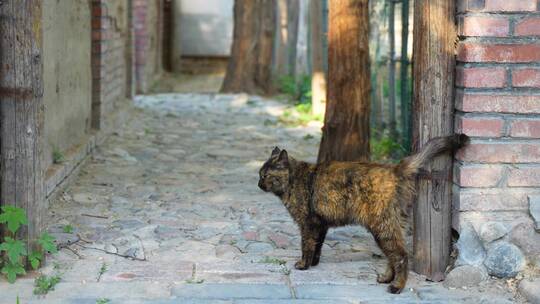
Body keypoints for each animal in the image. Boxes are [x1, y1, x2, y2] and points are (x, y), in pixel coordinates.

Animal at [258, 134, 468, 294]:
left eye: (266, 175)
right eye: (260, 174)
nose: (259, 184)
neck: (293, 180)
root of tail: (394, 169)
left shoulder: (307, 223)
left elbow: (307, 245)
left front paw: (303, 265)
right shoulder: (320, 224)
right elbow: (317, 245)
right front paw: (314, 263)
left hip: (382, 228)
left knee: (401, 256)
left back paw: (396, 287)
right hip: (389, 227)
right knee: (393, 256)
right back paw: (386, 278)